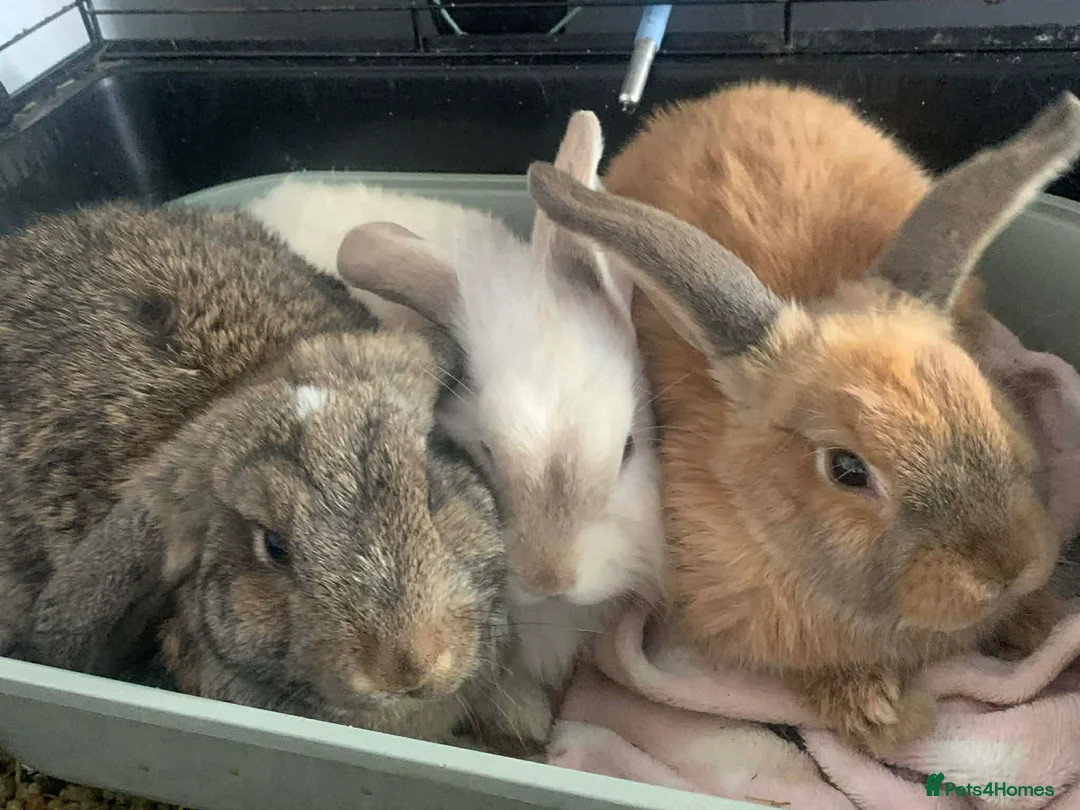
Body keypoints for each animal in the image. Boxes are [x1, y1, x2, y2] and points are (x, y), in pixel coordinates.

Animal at [523, 83, 1080, 754]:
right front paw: (883, 714)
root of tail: (730, 94)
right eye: (846, 469)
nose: (1007, 568)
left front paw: (1044, 621)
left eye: (985, 393)